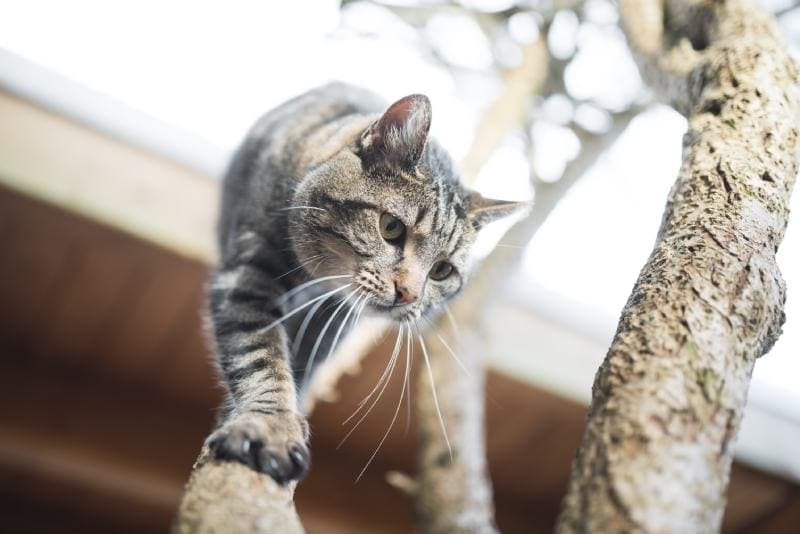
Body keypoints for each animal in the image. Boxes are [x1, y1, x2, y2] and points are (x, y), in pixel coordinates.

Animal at [208, 82, 524, 486]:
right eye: (391, 228)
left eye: (441, 270)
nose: (409, 293)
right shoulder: (250, 275)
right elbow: (260, 355)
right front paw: (271, 427)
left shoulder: (331, 317)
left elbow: (301, 362)